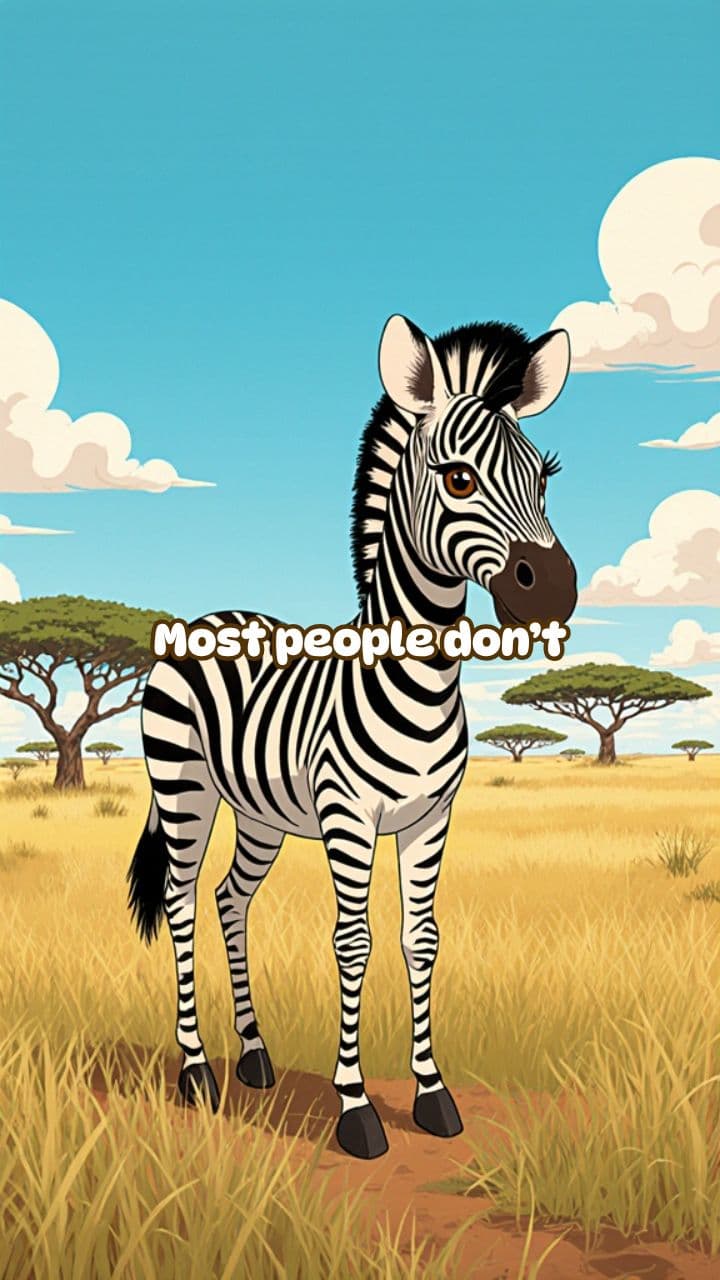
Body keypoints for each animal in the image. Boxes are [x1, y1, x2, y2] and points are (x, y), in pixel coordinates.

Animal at [128, 314, 577, 1160]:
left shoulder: (431, 818)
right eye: (458, 479)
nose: (556, 592)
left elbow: (422, 938)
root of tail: (204, 617)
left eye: (545, 477)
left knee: (230, 898)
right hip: (183, 788)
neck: (419, 680)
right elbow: (353, 942)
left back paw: (255, 1056)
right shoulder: (348, 820)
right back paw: (196, 1071)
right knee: (179, 899)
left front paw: (433, 1095)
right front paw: (356, 1107)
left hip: (261, 814)